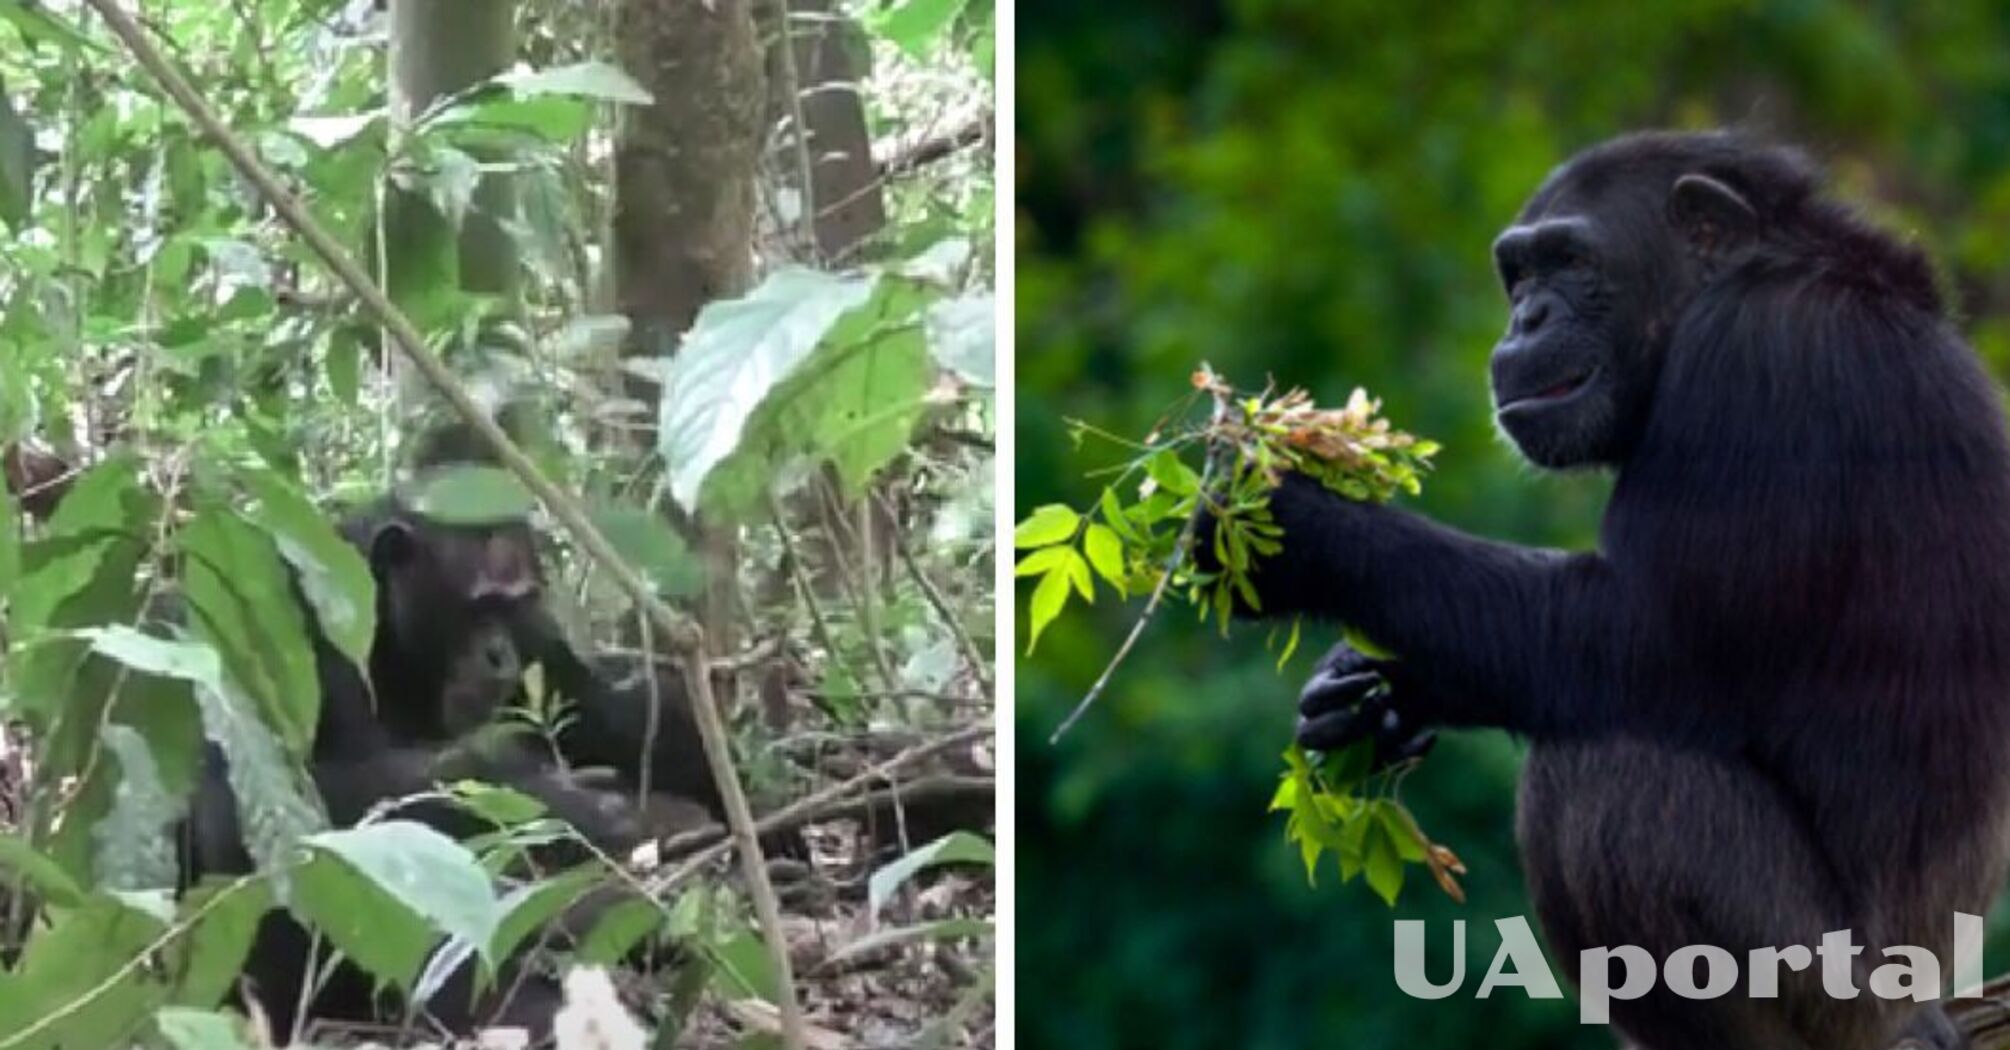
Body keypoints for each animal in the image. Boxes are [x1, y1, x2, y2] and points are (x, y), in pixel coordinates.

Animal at [1214, 132, 2010, 1045]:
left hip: (1839, 986)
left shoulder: (1758, 354)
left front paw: (1295, 524)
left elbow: (1641, 638)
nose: (1527, 319)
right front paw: (1360, 698)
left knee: (1608, 770)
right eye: (1519, 273)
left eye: (1571, 261)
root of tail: (1937, 986)